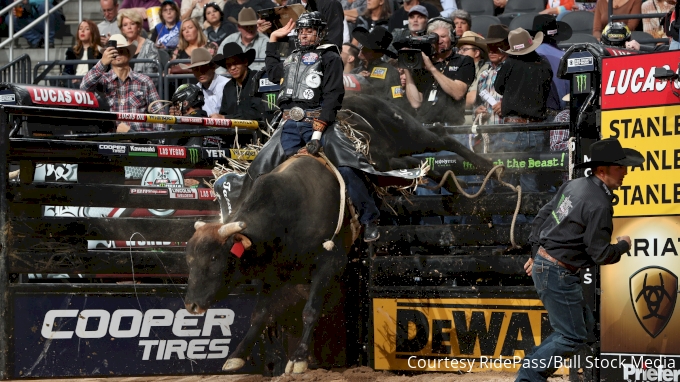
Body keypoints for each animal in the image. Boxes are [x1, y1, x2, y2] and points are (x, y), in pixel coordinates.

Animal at [183, 83, 492, 374]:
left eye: (216, 258)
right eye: (190, 260)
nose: (191, 305)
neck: (287, 213)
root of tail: (356, 96)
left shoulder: (330, 262)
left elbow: (310, 310)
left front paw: (298, 360)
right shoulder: (275, 272)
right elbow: (260, 314)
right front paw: (236, 357)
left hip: (404, 133)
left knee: (440, 138)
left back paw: (490, 168)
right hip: (392, 161)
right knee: (423, 165)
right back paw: (457, 186)